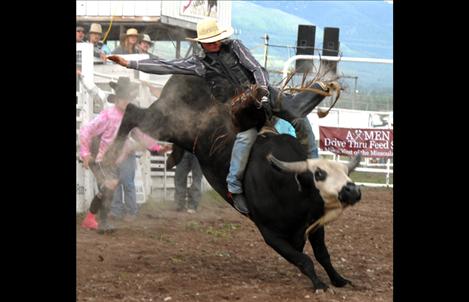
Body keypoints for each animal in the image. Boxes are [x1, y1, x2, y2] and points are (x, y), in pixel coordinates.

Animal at [102, 74, 356, 292]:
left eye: (345, 173)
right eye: (319, 175)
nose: (353, 190)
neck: (288, 187)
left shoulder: (314, 224)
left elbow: (322, 254)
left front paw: (339, 279)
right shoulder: (270, 234)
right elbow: (303, 259)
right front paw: (319, 284)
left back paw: (172, 158)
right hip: (166, 123)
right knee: (132, 113)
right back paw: (109, 154)